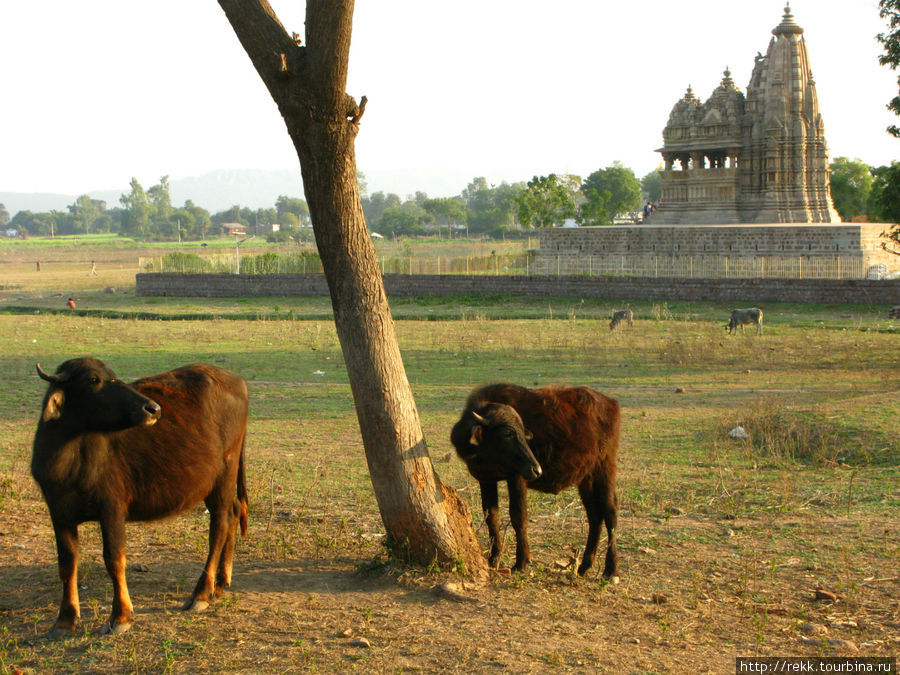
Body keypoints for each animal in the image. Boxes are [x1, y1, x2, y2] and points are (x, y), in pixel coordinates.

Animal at [32, 356, 250, 636]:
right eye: (93, 379)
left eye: (112, 375)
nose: (153, 409)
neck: (69, 457)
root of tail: (237, 382)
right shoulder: (58, 511)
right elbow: (67, 563)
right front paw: (65, 619)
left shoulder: (112, 507)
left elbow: (114, 559)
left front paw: (120, 617)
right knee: (233, 512)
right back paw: (221, 583)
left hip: (224, 473)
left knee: (220, 524)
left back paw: (201, 594)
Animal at [450, 382, 620, 580]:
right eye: (507, 433)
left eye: (522, 432)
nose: (537, 470)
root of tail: (610, 403)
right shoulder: (486, 479)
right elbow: (491, 516)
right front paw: (494, 558)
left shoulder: (517, 477)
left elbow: (518, 516)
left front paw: (521, 562)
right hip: (586, 478)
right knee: (595, 516)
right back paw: (585, 566)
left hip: (605, 469)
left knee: (610, 513)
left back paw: (611, 569)